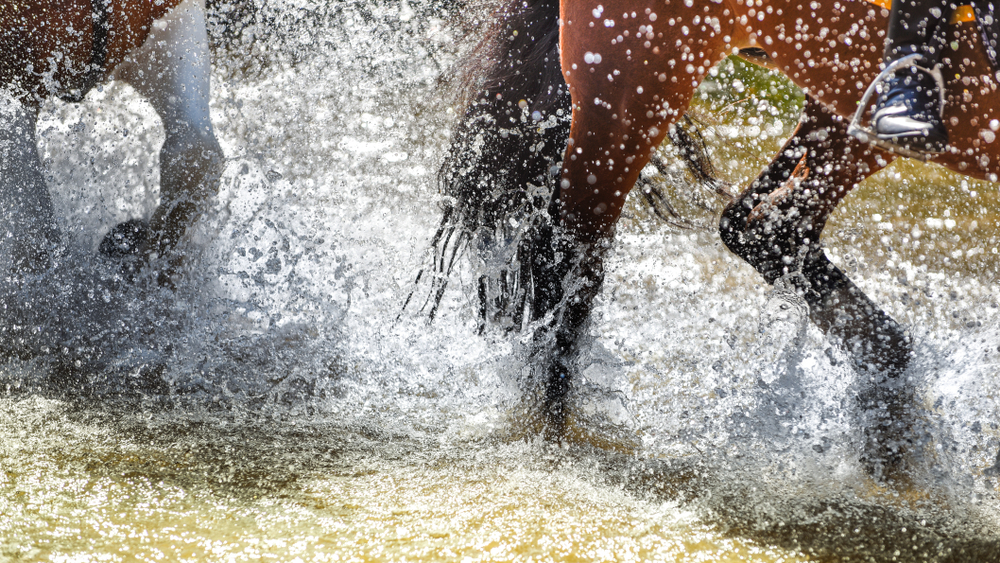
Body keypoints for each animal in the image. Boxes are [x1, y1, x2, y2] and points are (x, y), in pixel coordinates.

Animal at [431, 0, 1000, 478]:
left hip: (840, 102)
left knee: (766, 229)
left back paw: (893, 423)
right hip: (630, 84)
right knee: (566, 256)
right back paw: (546, 430)